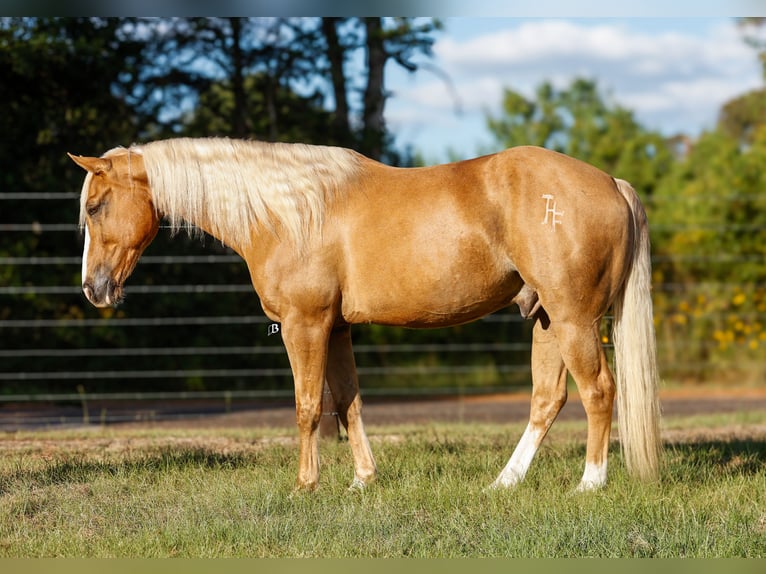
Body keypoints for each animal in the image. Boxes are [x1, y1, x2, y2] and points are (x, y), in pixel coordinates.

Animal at [69, 137, 661, 492]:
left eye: (96, 207)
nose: (94, 289)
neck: (290, 212)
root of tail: (611, 184)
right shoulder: (337, 330)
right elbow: (347, 403)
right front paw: (362, 481)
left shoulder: (305, 325)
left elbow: (308, 406)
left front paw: (305, 486)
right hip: (547, 320)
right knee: (547, 399)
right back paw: (504, 483)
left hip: (573, 320)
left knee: (598, 391)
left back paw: (590, 483)